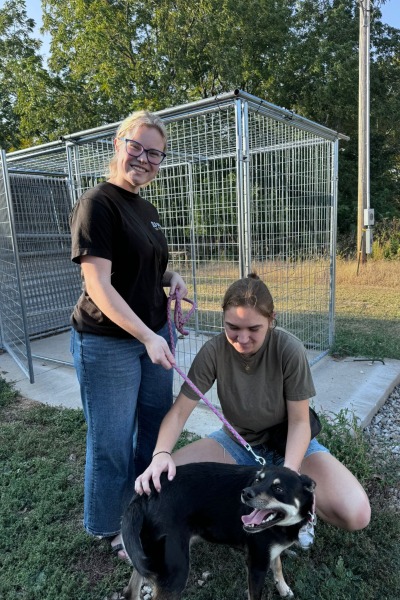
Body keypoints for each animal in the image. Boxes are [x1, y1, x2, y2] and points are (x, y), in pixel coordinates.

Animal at [121, 462, 316, 596]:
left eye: (278, 488)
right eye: (257, 480)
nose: (245, 493)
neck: (283, 525)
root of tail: (142, 497)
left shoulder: (269, 553)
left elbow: (278, 565)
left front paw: (283, 588)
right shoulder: (257, 564)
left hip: (147, 556)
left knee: (131, 591)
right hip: (175, 571)